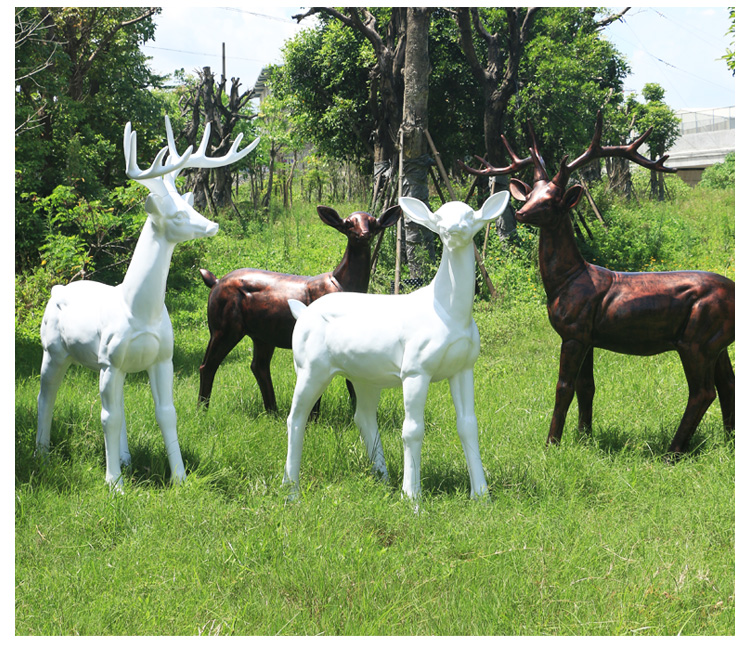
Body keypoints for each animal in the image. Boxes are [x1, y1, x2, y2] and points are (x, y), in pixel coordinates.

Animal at [38, 116, 262, 492]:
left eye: (191, 206)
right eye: (176, 216)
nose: (213, 224)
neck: (140, 311)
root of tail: (57, 289)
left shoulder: (160, 358)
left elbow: (166, 414)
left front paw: (180, 477)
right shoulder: (109, 360)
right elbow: (107, 417)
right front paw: (113, 484)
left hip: (111, 364)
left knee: (120, 406)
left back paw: (126, 458)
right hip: (54, 349)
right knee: (47, 395)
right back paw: (42, 451)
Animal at [282, 192, 512, 502]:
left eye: (470, 215)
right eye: (439, 217)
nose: (453, 229)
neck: (449, 312)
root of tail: (302, 312)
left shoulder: (464, 368)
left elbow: (468, 425)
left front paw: (482, 496)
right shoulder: (415, 369)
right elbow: (412, 430)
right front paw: (412, 497)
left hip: (365, 375)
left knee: (363, 416)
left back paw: (382, 477)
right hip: (310, 367)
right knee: (296, 418)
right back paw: (291, 490)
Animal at [462, 111, 736, 456]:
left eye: (551, 200)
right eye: (531, 195)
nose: (522, 212)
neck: (566, 281)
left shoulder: (574, 331)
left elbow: (564, 387)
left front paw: (551, 443)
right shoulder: (588, 336)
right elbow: (586, 387)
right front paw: (584, 436)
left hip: (696, 339)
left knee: (703, 392)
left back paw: (672, 451)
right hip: (716, 341)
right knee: (728, 384)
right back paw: (729, 440)